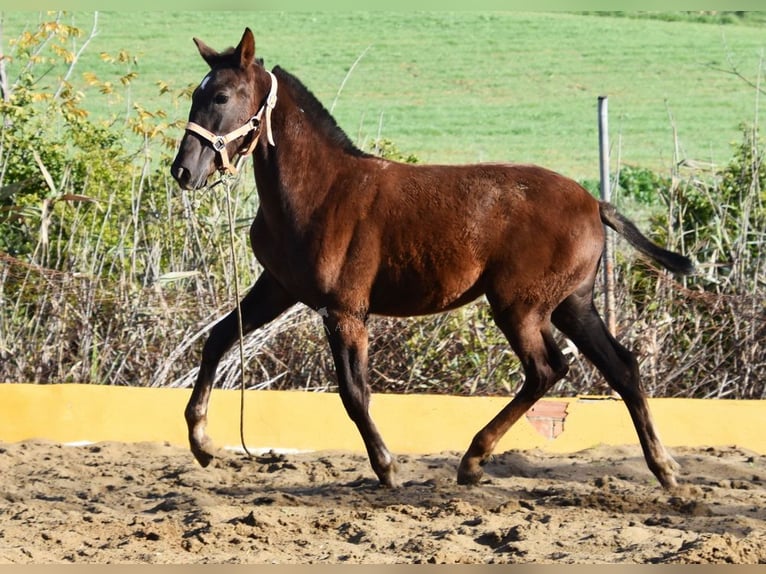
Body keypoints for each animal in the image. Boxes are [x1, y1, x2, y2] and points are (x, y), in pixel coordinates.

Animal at [172, 28, 696, 490]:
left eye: (220, 97)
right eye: (197, 95)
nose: (183, 170)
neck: (320, 189)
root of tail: (594, 204)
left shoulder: (344, 310)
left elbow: (354, 393)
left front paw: (387, 468)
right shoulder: (279, 287)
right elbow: (218, 338)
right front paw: (202, 443)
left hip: (520, 306)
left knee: (546, 370)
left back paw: (473, 460)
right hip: (571, 304)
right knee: (620, 367)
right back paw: (665, 470)